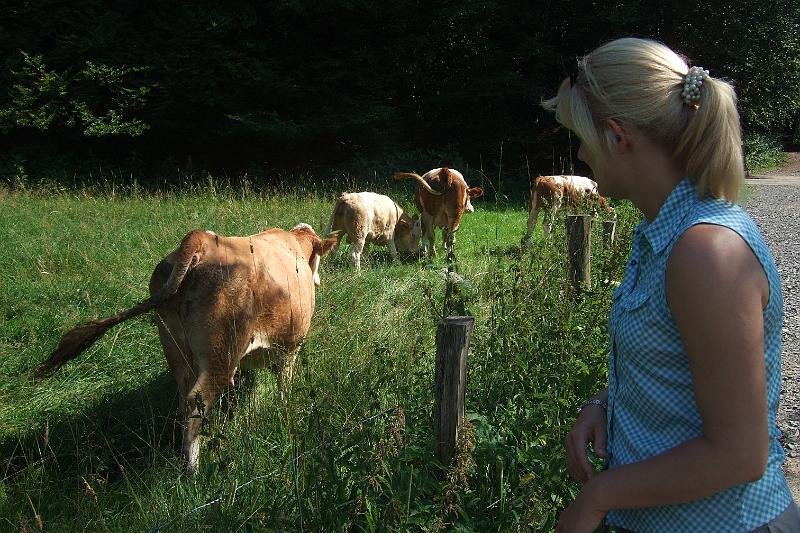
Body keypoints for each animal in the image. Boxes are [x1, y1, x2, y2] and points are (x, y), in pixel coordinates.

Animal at [35, 223, 338, 474]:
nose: (318, 280)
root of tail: (199, 240)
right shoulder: (290, 348)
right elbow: (284, 386)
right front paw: (286, 409)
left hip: (178, 353)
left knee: (183, 401)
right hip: (220, 356)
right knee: (194, 402)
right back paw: (193, 471)